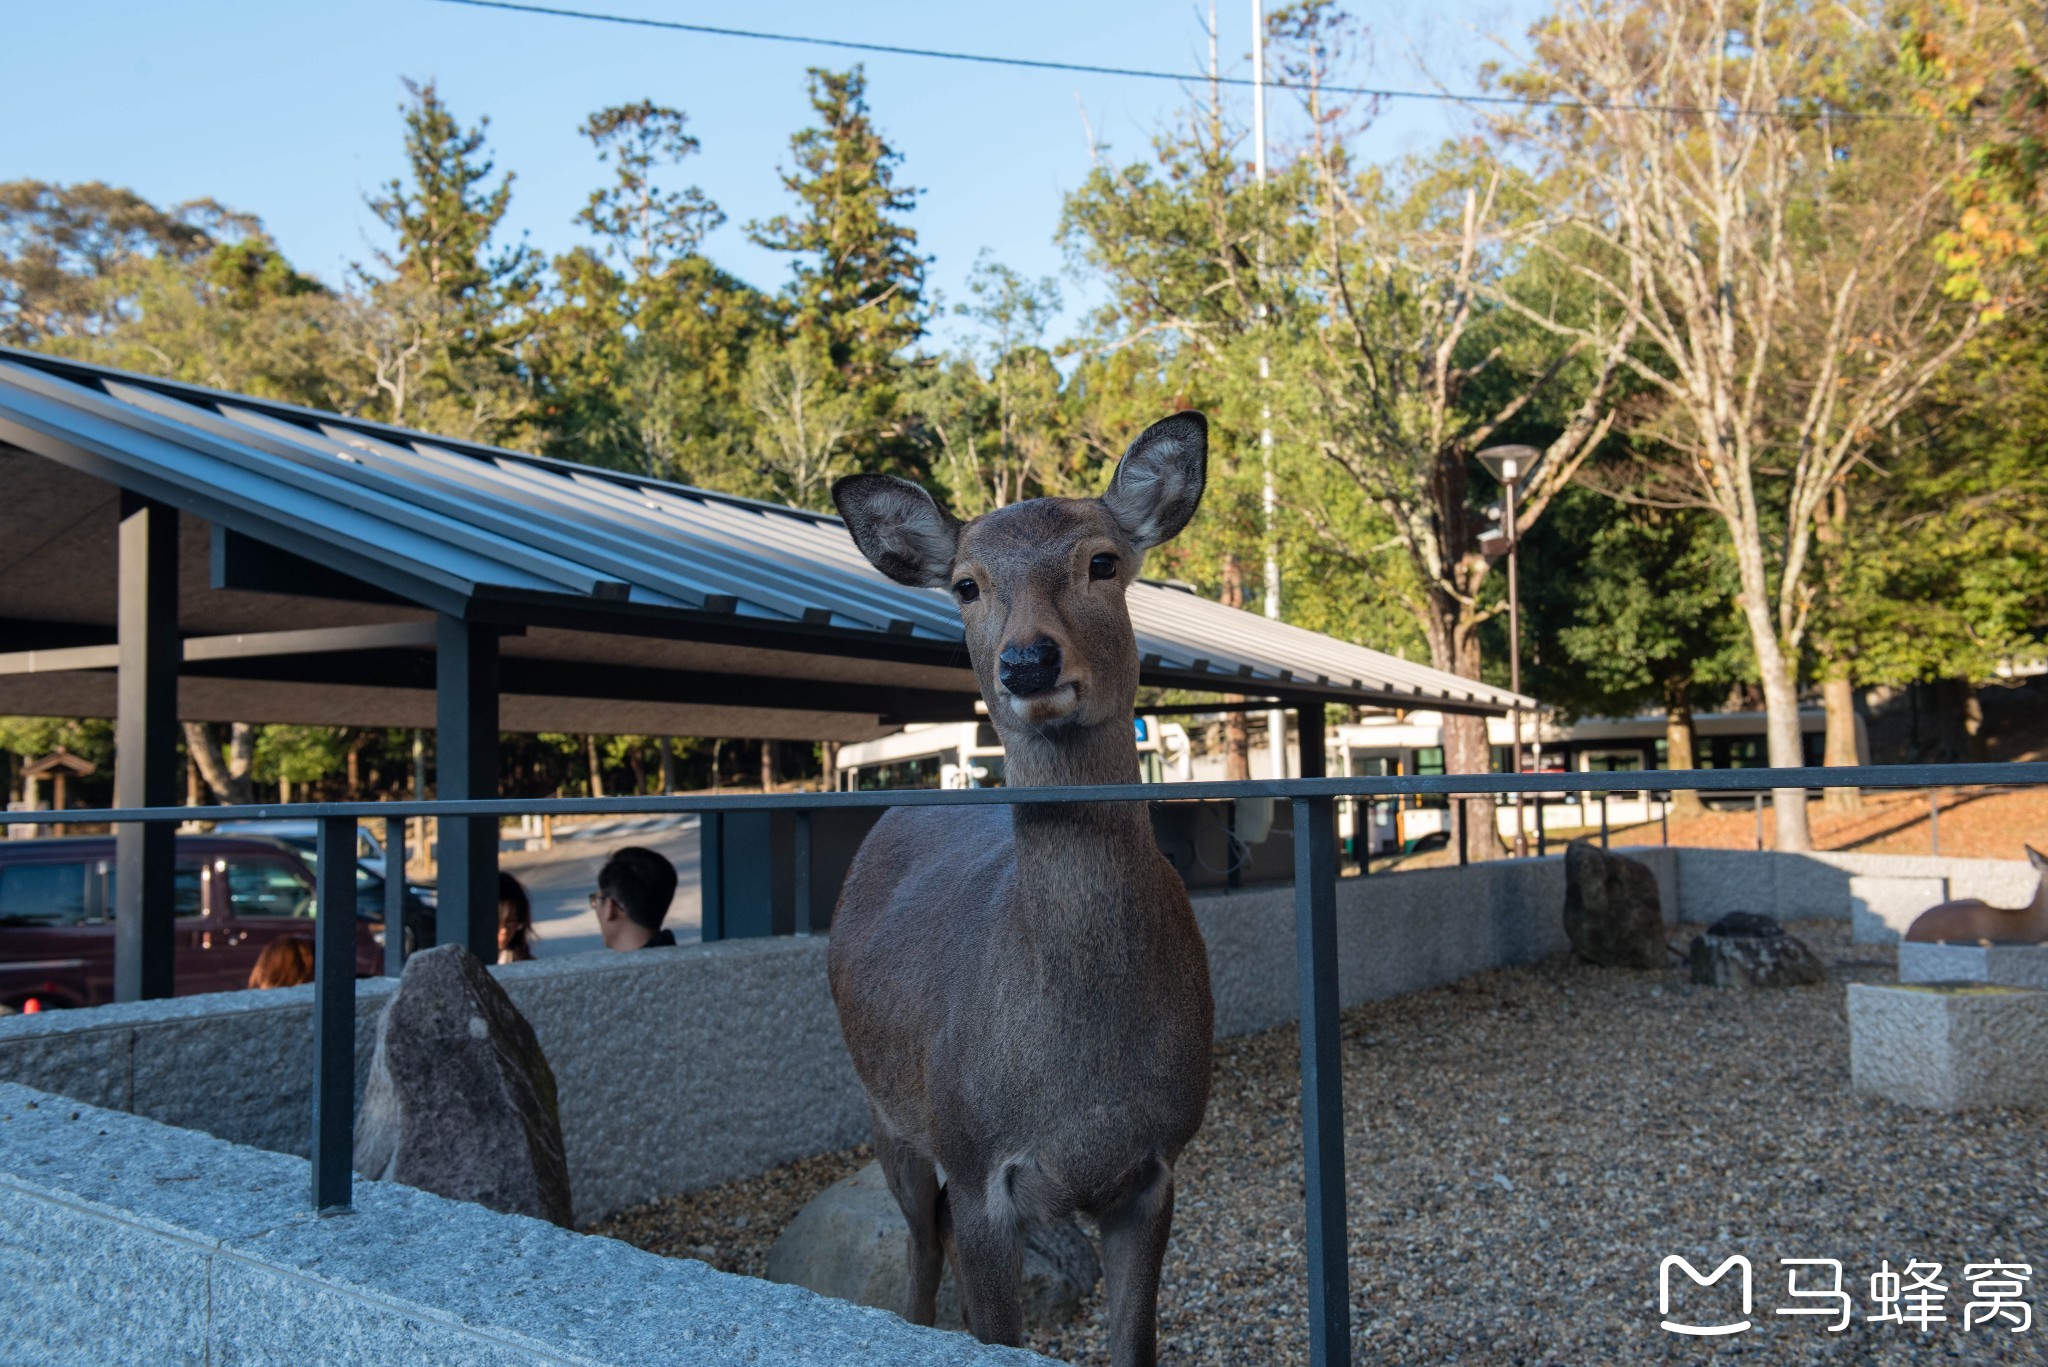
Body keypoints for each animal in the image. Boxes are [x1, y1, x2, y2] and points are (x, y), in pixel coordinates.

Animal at [827, 411, 1212, 1360]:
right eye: (967, 584)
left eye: (1103, 561)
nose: (1029, 662)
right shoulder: (976, 1161)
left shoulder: (1158, 1163)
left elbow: (1134, 1341)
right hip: (886, 1111)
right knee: (923, 1249)